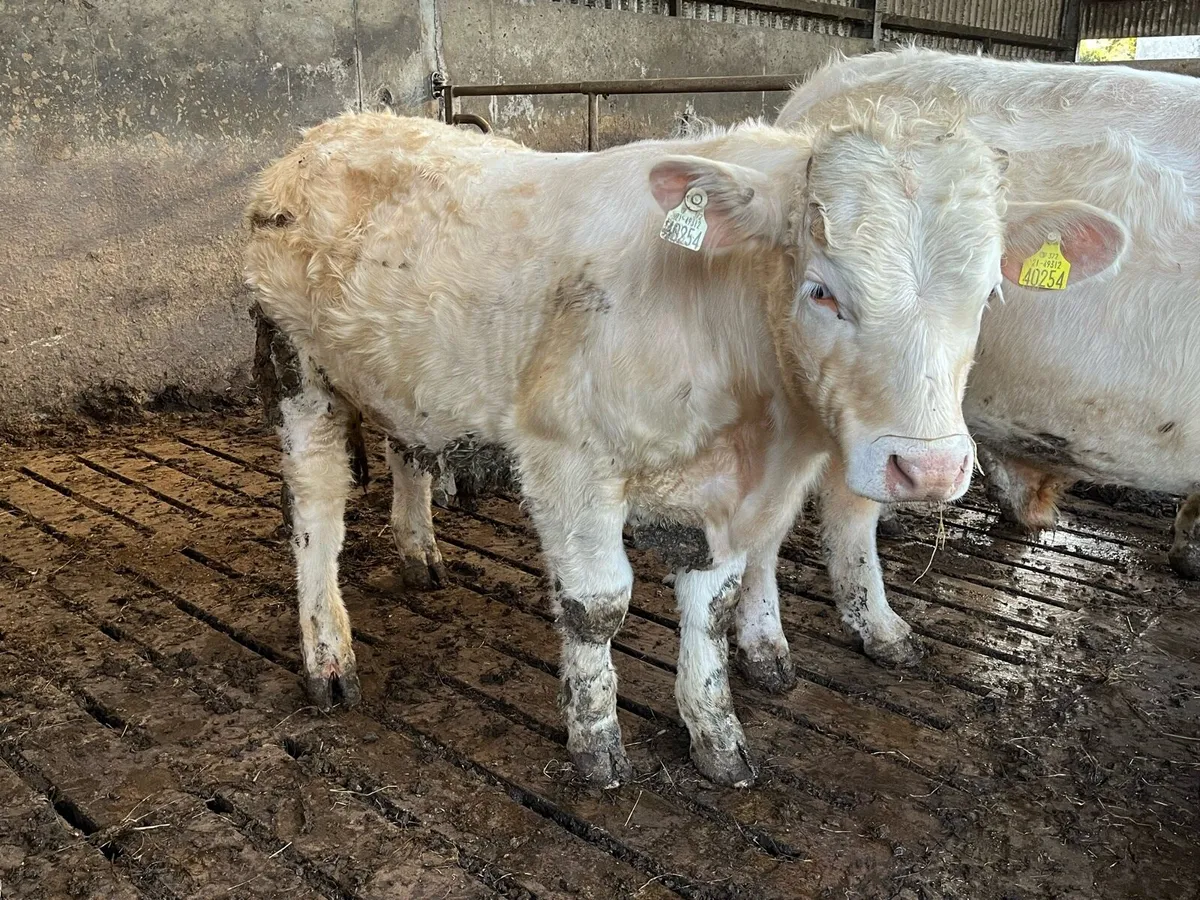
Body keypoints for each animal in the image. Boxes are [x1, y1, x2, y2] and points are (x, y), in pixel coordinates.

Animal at [243, 106, 1123, 788]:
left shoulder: (737, 497)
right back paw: (329, 656)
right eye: (822, 291)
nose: (931, 467)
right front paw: (596, 745)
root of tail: (336, 126)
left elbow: (716, 606)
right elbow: (598, 608)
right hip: (297, 371)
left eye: (990, 293)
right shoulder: (567, 457)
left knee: (406, 451)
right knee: (316, 511)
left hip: (405, 377)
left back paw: (418, 550)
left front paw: (716, 734)